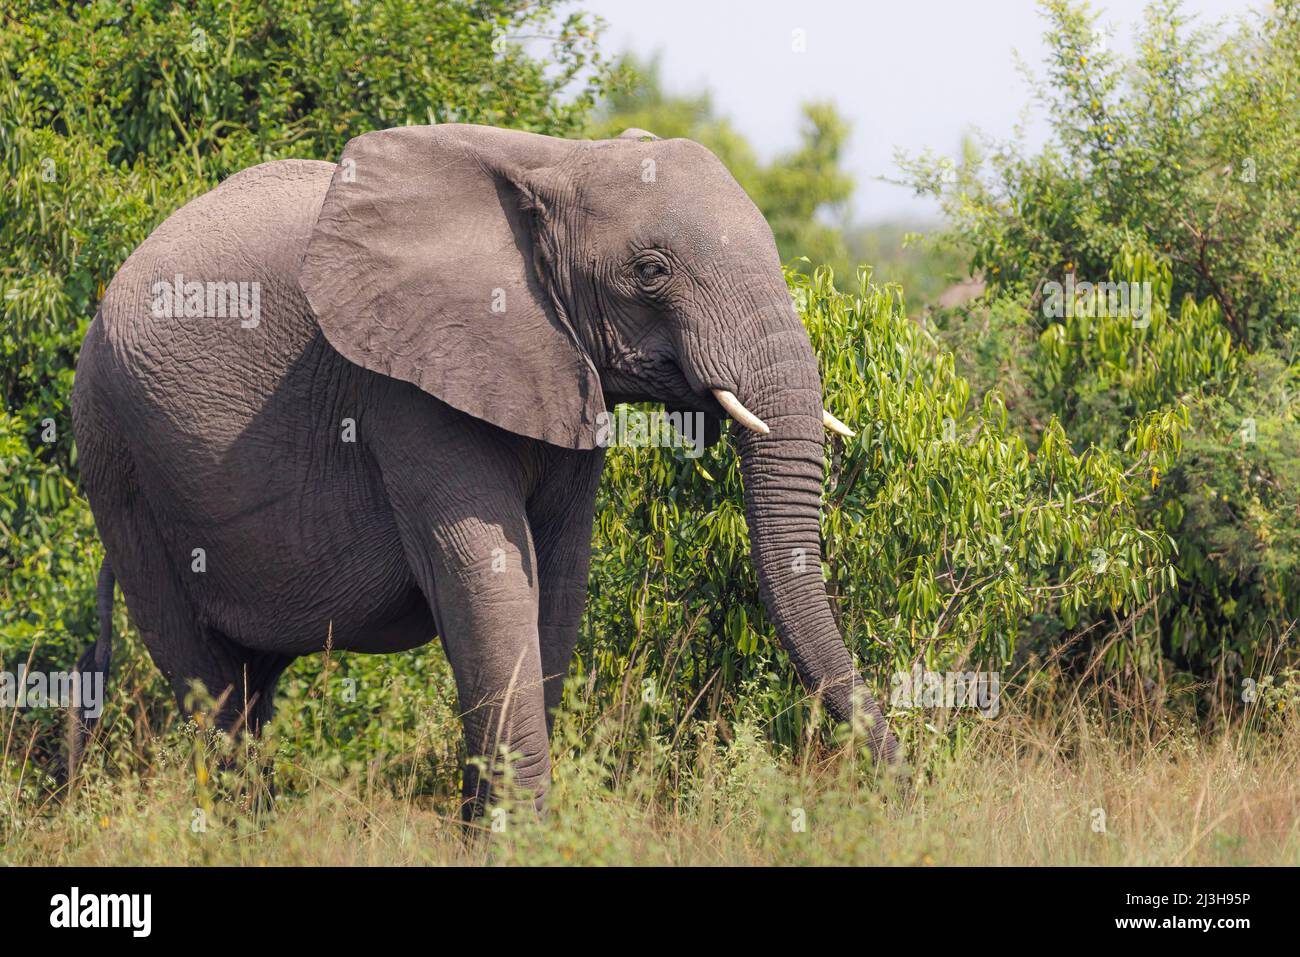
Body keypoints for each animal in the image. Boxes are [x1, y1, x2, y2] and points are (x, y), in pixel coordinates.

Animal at [71, 121, 899, 816]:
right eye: (651, 270)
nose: (900, 781)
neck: (560, 158)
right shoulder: (404, 384)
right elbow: (487, 574)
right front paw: (517, 835)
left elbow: (557, 580)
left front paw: (491, 824)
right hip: (117, 456)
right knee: (211, 685)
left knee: (254, 681)